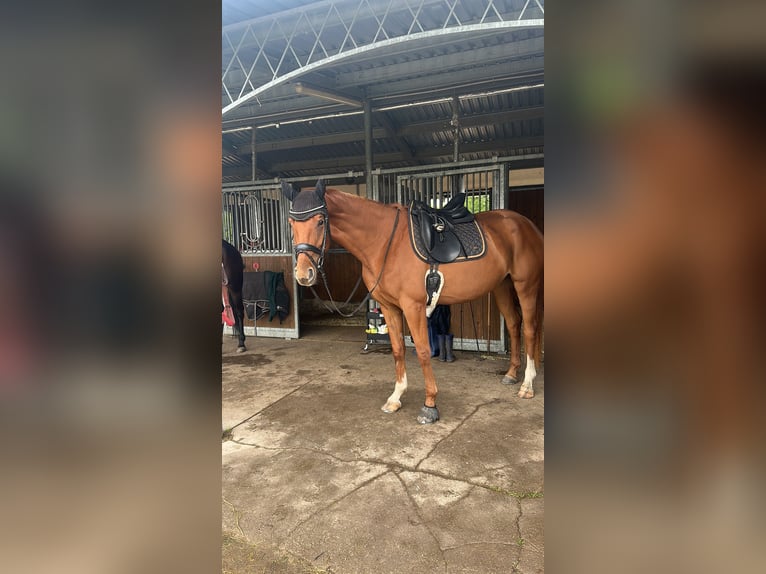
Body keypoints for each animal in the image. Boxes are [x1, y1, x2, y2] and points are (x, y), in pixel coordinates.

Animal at [281, 179, 543, 424]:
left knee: (529, 329)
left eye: (320, 221)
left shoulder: (413, 306)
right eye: (291, 224)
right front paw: (395, 398)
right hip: (502, 286)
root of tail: (527, 225)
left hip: (525, 285)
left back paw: (527, 385)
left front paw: (430, 406)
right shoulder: (389, 307)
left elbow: (423, 351)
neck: (385, 242)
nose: (304, 275)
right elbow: (398, 350)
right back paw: (511, 374)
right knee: (514, 324)